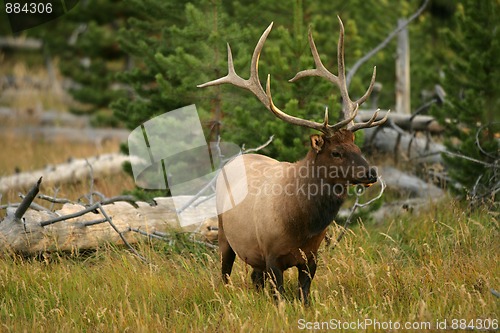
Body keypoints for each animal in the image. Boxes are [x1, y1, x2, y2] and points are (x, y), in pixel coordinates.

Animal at [197, 17, 388, 304]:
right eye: (336, 152)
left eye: (356, 145)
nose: (371, 174)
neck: (301, 225)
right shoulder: (272, 255)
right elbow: (280, 298)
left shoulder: (311, 257)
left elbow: (304, 297)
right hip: (224, 235)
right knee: (226, 273)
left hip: (254, 256)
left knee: (255, 279)